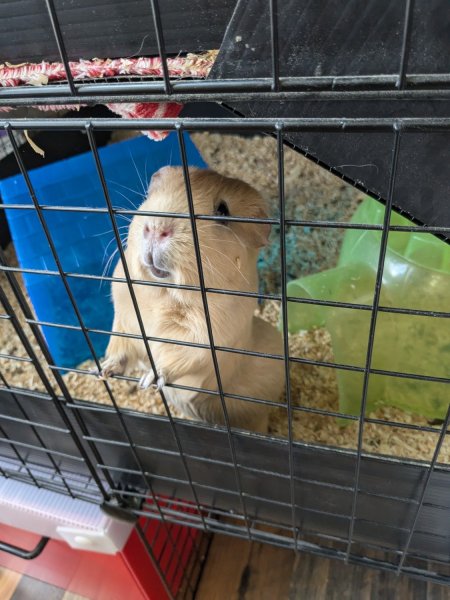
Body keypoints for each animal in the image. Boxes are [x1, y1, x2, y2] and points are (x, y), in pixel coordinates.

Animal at [100, 166, 284, 432]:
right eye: (150, 196)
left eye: (223, 211)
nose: (156, 229)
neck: (163, 293)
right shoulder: (125, 320)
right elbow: (120, 348)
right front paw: (103, 370)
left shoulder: (202, 337)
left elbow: (176, 357)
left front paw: (149, 380)